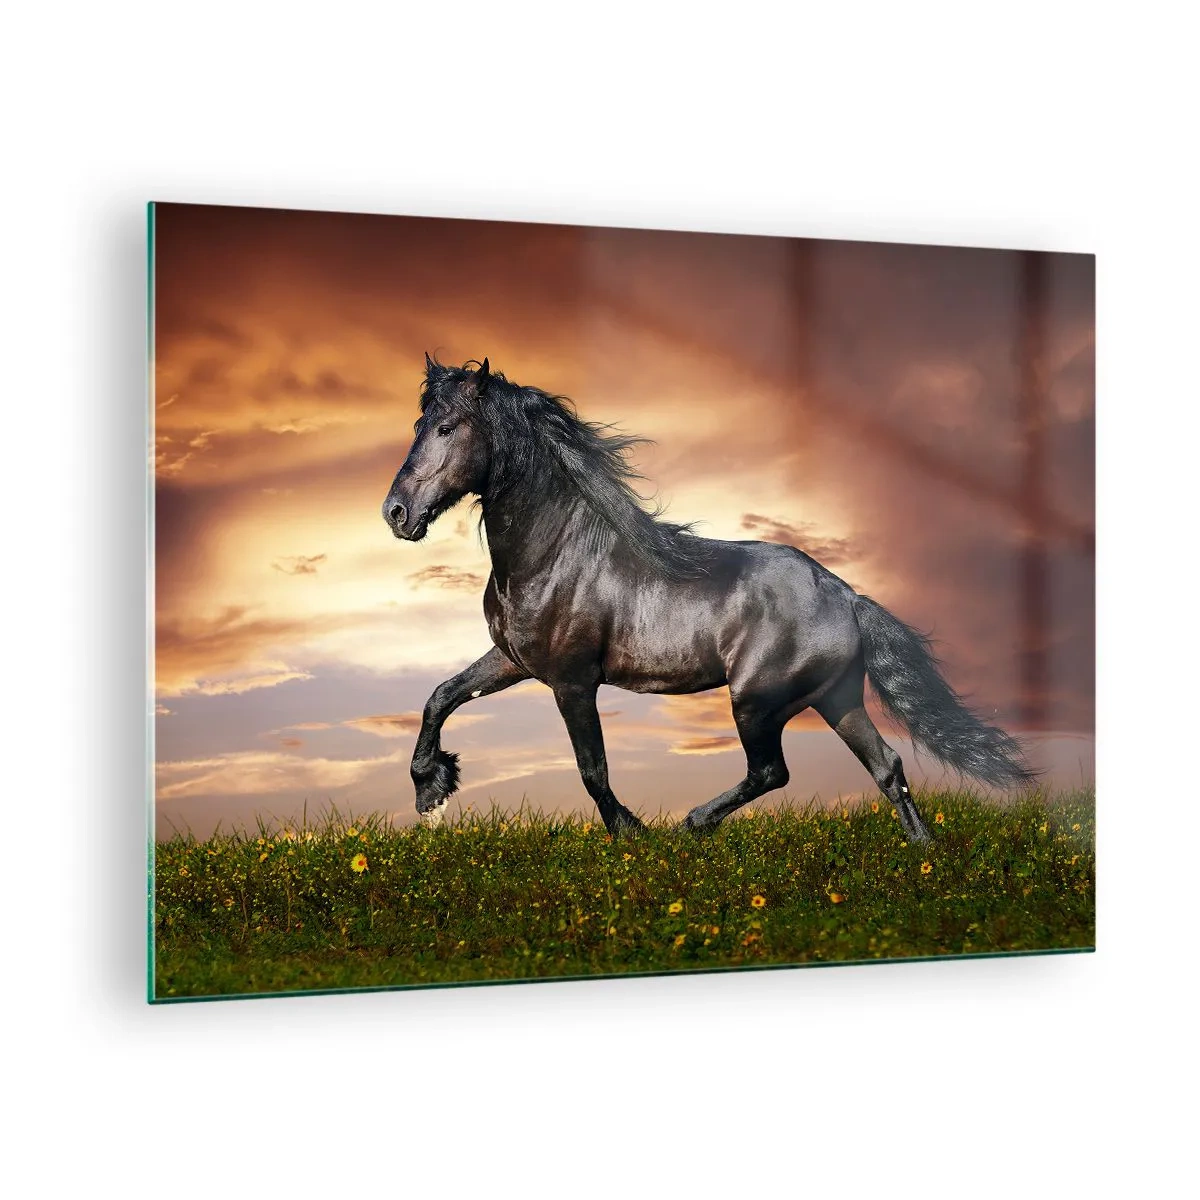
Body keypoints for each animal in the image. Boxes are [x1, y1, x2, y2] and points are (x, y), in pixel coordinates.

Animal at [382, 356, 1034, 838]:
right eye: (418, 426)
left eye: (446, 428)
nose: (396, 513)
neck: (555, 554)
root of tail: (847, 597)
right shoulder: (514, 661)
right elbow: (441, 696)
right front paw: (431, 787)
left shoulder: (572, 680)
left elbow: (592, 769)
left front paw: (631, 833)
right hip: (837, 699)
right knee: (887, 767)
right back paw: (922, 854)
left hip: (756, 701)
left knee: (772, 771)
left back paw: (693, 824)